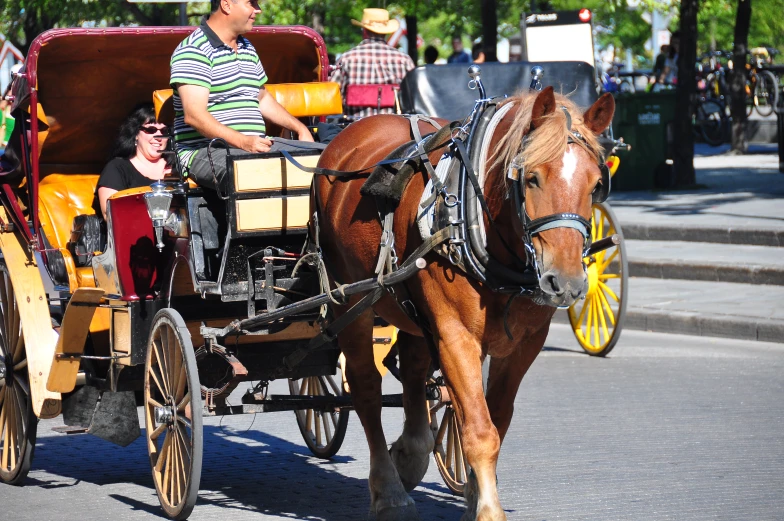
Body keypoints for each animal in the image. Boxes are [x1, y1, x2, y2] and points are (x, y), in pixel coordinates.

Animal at [310, 86, 612, 520]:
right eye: (531, 177)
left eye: (596, 184)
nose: (567, 282)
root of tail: (351, 131)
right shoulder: (456, 335)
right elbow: (479, 430)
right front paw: (487, 509)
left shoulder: (524, 344)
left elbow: (494, 419)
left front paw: (474, 495)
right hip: (348, 300)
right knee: (366, 387)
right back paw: (389, 491)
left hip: (412, 309)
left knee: (414, 372)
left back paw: (410, 456)